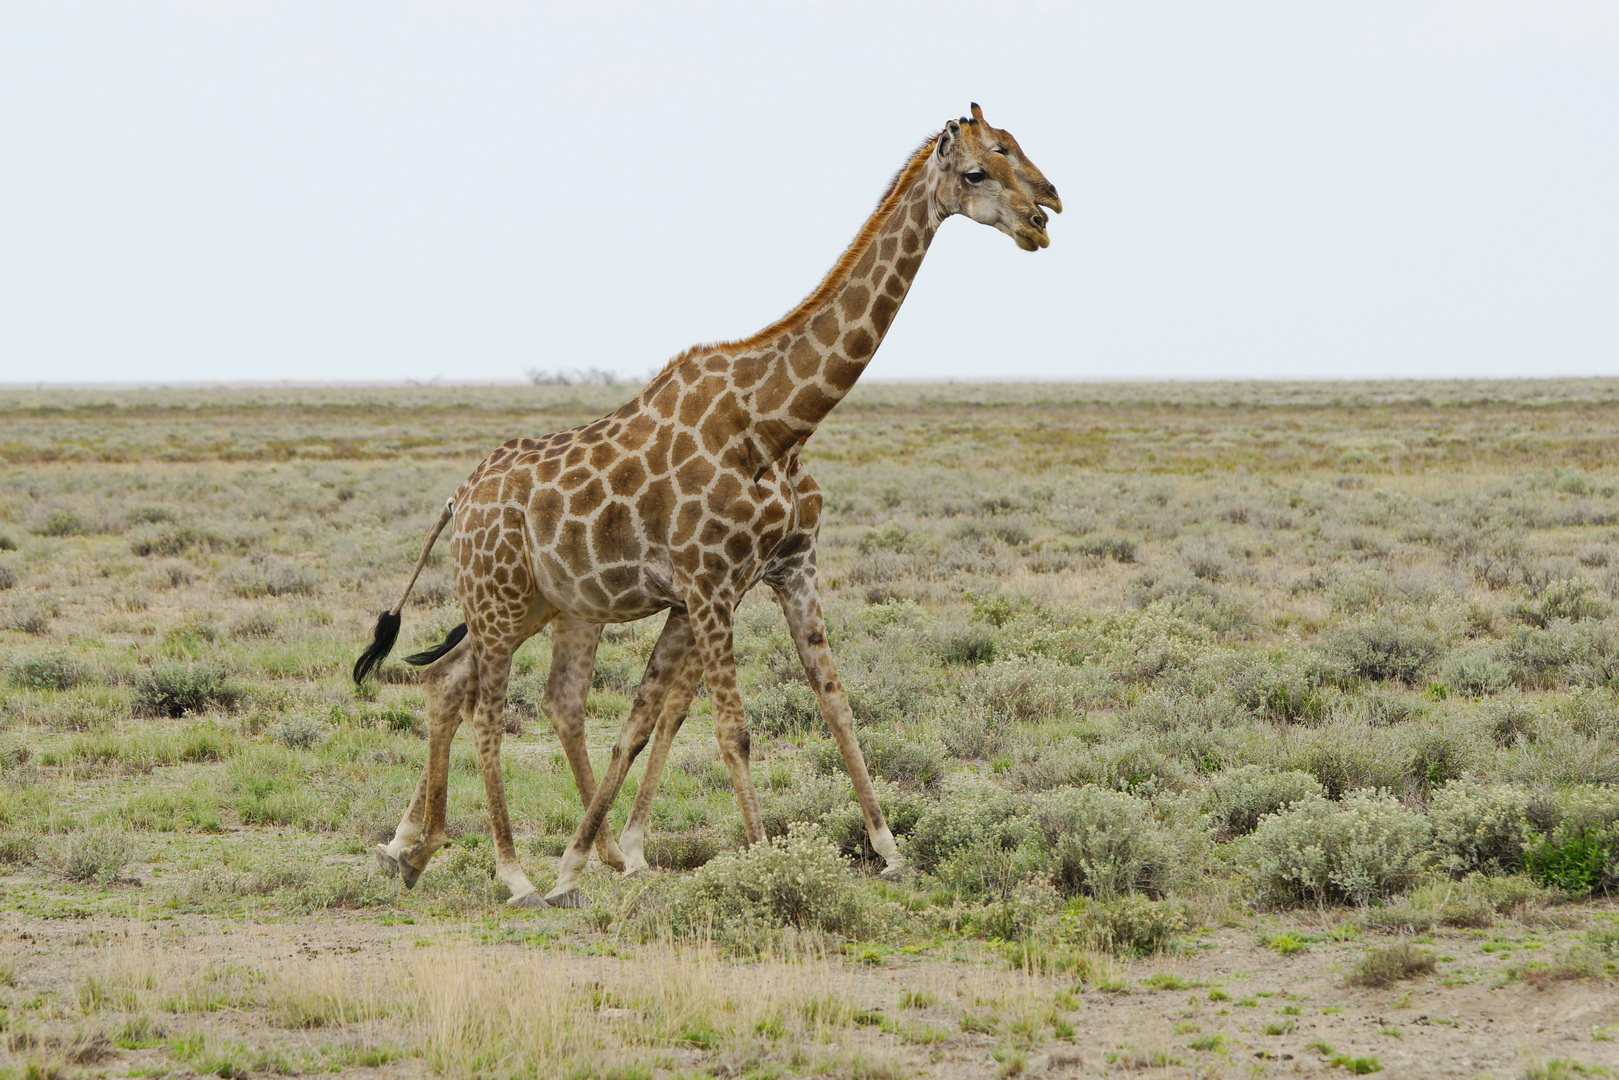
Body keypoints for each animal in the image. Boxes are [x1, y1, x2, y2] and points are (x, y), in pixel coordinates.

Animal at [357, 105, 1062, 906]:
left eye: (1020, 151)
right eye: (977, 170)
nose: (1043, 215)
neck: (776, 425)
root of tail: (460, 495)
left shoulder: (781, 571)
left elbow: (827, 704)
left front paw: (889, 850)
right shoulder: (708, 583)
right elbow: (729, 728)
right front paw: (758, 861)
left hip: (538, 602)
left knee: (466, 685)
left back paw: (413, 850)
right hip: (501, 599)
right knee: (484, 706)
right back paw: (510, 872)